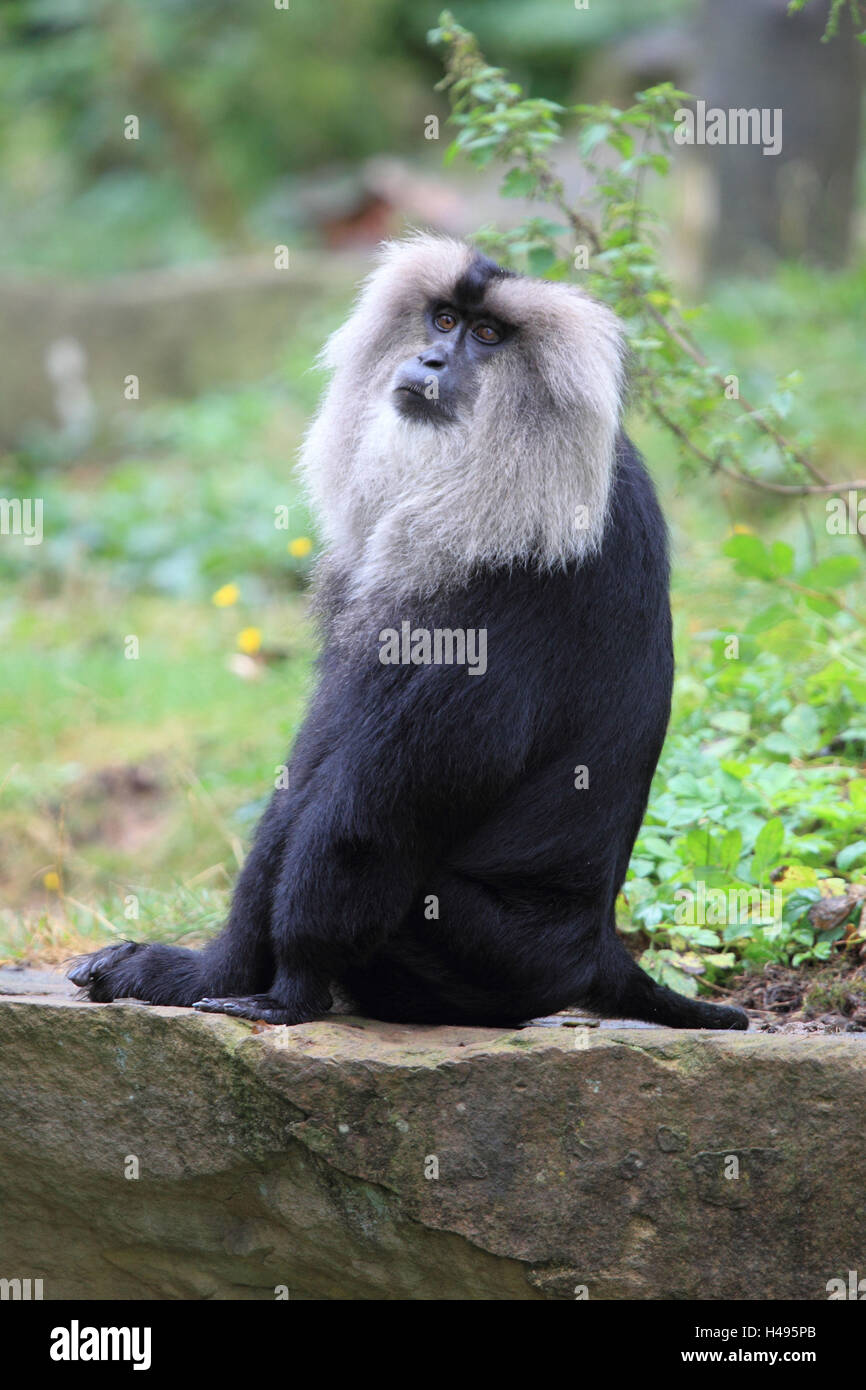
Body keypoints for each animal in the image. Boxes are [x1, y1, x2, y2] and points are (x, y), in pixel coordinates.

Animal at [67, 230, 750, 1034]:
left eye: (487, 336)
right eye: (444, 320)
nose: (429, 361)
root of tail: (594, 948)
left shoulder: (520, 586)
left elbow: (405, 790)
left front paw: (292, 987)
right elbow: (320, 747)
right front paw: (201, 974)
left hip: (483, 955)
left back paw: (296, 991)